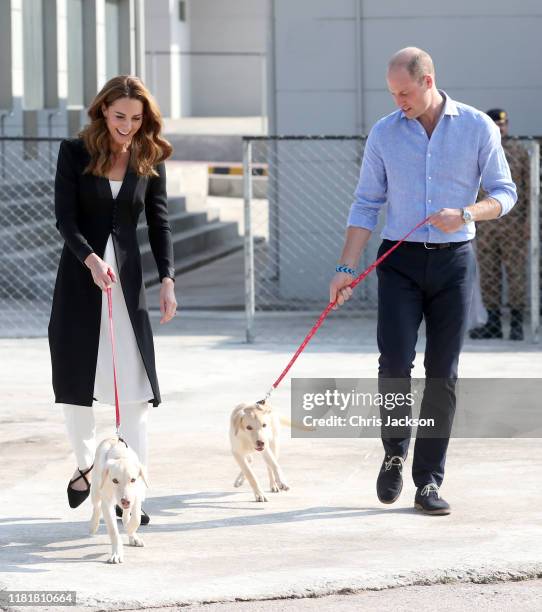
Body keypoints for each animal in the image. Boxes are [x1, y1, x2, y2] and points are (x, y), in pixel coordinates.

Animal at [90, 436, 149, 564]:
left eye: (133, 480)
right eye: (115, 480)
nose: (125, 501)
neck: (120, 456)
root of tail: (110, 438)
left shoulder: (136, 495)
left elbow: (136, 518)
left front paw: (130, 530)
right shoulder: (107, 503)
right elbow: (113, 531)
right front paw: (116, 554)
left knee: (125, 516)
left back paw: (132, 535)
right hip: (95, 490)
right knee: (96, 506)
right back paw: (93, 525)